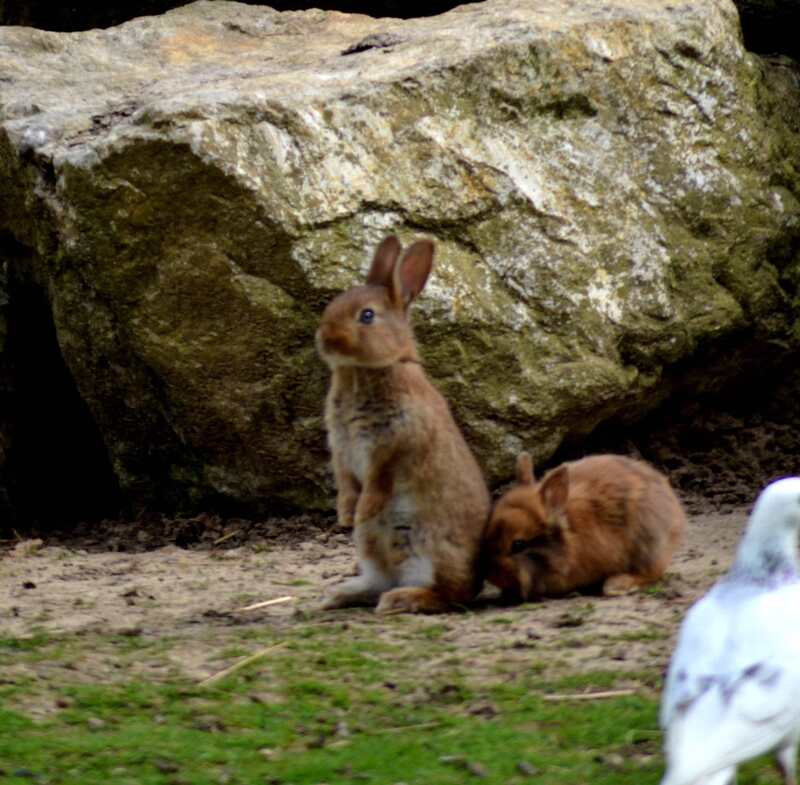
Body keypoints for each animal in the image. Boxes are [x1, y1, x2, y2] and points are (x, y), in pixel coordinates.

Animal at [314, 236, 490, 616]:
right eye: (335, 304)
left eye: (367, 315)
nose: (325, 339)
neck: (366, 370)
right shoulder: (342, 448)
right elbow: (346, 481)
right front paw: (346, 514)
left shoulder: (393, 444)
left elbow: (378, 483)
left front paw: (362, 509)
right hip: (371, 549)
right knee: (379, 581)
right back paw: (337, 596)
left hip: (428, 547)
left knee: (448, 594)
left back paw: (401, 599)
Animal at [484, 450, 684, 596]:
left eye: (518, 544)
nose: (493, 576)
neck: (569, 535)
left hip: (646, 546)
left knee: (653, 573)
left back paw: (615, 585)